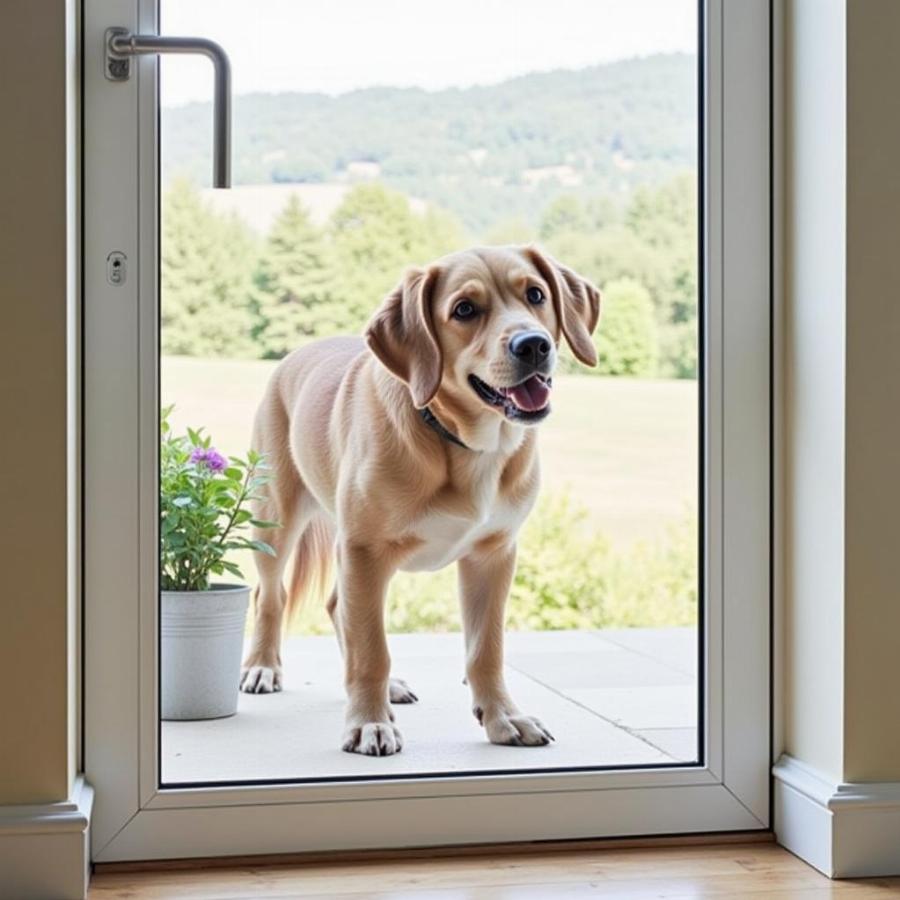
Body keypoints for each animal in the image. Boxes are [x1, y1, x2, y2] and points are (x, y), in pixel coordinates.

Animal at [243, 244, 600, 752]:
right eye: (464, 310)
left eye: (535, 294)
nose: (532, 345)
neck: (465, 444)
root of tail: (298, 351)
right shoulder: (365, 550)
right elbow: (371, 650)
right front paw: (369, 721)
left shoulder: (493, 556)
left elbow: (485, 650)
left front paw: (503, 716)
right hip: (276, 520)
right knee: (270, 594)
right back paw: (263, 666)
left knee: (336, 606)